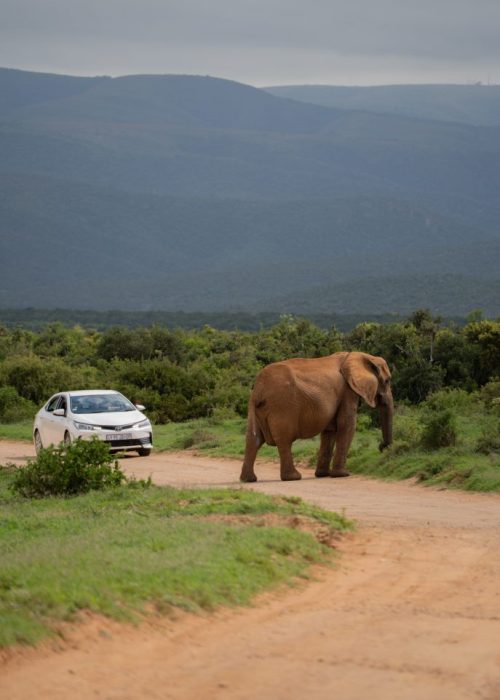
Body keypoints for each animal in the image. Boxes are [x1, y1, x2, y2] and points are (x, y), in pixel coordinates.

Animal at [240, 351, 393, 482]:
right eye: (387, 381)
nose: (382, 447)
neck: (361, 356)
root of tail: (259, 389)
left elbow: (330, 431)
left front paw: (323, 475)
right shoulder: (347, 392)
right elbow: (347, 426)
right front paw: (343, 475)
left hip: (253, 406)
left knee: (253, 438)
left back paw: (248, 479)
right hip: (282, 405)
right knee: (284, 440)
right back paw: (294, 477)